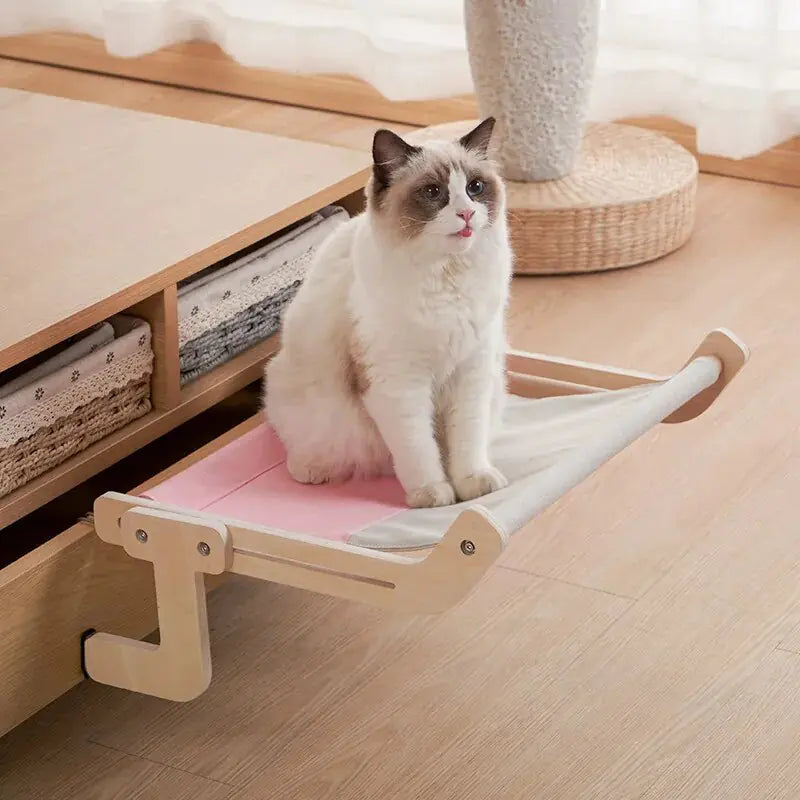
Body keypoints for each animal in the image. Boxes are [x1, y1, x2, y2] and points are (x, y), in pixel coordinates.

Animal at [262, 116, 512, 510]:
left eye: (475, 187)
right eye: (433, 193)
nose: (467, 213)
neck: (447, 278)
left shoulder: (471, 372)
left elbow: (467, 444)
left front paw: (472, 484)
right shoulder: (398, 383)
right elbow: (418, 448)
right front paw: (432, 494)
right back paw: (311, 469)